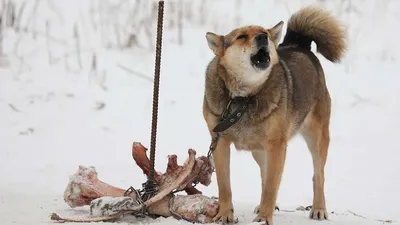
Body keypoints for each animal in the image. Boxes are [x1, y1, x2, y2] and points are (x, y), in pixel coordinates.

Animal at [203, 5, 346, 225]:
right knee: (265, 174)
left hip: (316, 136)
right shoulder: (220, 142)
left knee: (318, 174)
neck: (243, 98)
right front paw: (225, 214)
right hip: (259, 150)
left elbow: (272, 185)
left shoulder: (277, 144)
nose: (263, 37)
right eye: (241, 36)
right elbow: (225, 185)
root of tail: (299, 45)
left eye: (265, 33)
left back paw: (318, 209)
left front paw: (264, 218)